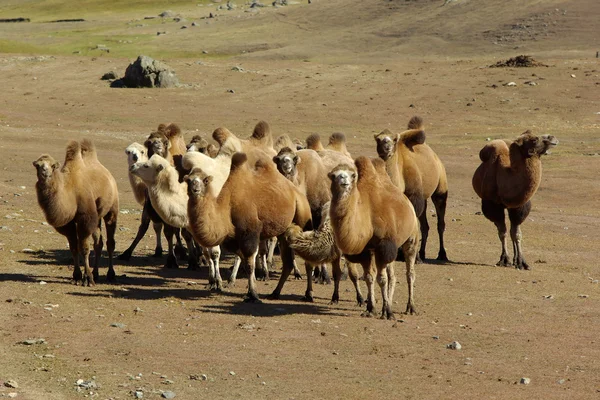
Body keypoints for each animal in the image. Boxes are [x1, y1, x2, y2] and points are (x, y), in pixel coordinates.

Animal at [32, 139, 119, 286]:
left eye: (53, 166)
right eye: (37, 165)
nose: (45, 172)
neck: (70, 193)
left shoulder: (85, 219)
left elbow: (84, 248)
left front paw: (87, 279)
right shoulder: (68, 223)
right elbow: (73, 247)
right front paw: (77, 276)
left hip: (112, 209)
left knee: (110, 242)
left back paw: (110, 274)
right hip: (97, 217)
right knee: (98, 243)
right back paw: (96, 274)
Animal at [185, 148, 312, 302]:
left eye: (205, 180)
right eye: (188, 180)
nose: (195, 189)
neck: (227, 207)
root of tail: (297, 192)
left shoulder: (250, 232)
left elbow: (250, 264)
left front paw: (253, 295)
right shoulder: (232, 240)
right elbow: (245, 263)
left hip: (303, 215)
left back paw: (308, 294)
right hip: (284, 231)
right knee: (287, 262)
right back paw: (275, 293)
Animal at [326, 156, 420, 318]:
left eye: (352, 175)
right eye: (333, 175)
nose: (343, 179)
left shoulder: (383, 245)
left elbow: (381, 279)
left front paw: (388, 312)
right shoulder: (366, 250)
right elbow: (370, 277)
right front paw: (371, 308)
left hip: (411, 238)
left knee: (410, 273)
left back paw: (411, 307)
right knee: (392, 276)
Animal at [376, 115, 450, 260]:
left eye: (394, 139)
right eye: (378, 139)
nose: (386, 148)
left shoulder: (414, 196)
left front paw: (413, 257)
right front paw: (400, 253)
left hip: (440, 189)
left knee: (440, 223)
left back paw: (442, 254)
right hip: (425, 198)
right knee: (425, 226)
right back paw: (422, 252)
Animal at [472, 130, 560, 268]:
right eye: (534, 139)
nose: (553, 138)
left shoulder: (519, 206)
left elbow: (517, 234)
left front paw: (522, 262)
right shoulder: (493, 206)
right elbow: (502, 232)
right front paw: (504, 260)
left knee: (513, 231)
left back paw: (515, 259)